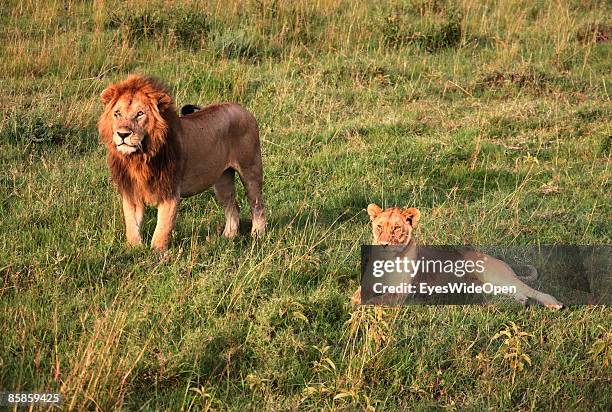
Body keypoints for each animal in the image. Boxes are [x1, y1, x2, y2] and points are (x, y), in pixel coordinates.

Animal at [98, 75, 266, 249]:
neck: (139, 158)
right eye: (117, 113)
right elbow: (132, 226)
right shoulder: (132, 192)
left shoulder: (170, 192)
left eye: (140, 114)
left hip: (251, 169)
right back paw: (227, 237)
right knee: (233, 207)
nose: (122, 134)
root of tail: (242, 109)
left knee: (257, 204)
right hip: (222, 180)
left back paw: (257, 235)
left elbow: (161, 230)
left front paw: (156, 253)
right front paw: (135, 249)